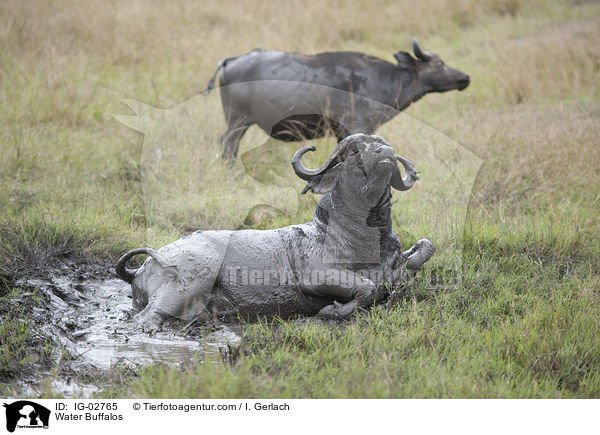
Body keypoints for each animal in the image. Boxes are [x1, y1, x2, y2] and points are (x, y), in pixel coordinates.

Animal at [116, 135, 436, 328]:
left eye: (382, 144)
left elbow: (424, 249)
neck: (363, 236)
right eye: (356, 151)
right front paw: (330, 312)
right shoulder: (315, 275)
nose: (387, 153)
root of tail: (142, 267)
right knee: (147, 319)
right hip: (190, 279)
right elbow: (367, 287)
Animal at [205, 38, 468, 159]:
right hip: (237, 121)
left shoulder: (342, 133)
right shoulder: (358, 126)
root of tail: (231, 60)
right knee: (228, 143)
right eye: (440, 64)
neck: (382, 78)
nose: (465, 77)